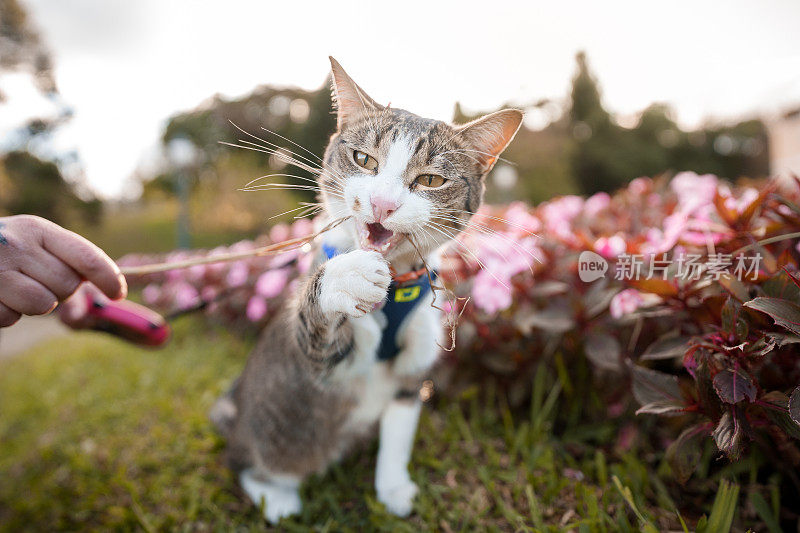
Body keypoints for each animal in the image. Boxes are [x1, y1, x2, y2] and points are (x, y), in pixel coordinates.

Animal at [211, 57, 524, 520]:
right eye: (363, 158)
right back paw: (276, 496)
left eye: (431, 180)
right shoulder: (323, 361)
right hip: (267, 435)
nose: (382, 204)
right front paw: (346, 277)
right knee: (249, 462)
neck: (395, 289)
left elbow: (399, 427)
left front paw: (393, 489)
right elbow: (317, 333)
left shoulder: (416, 363)